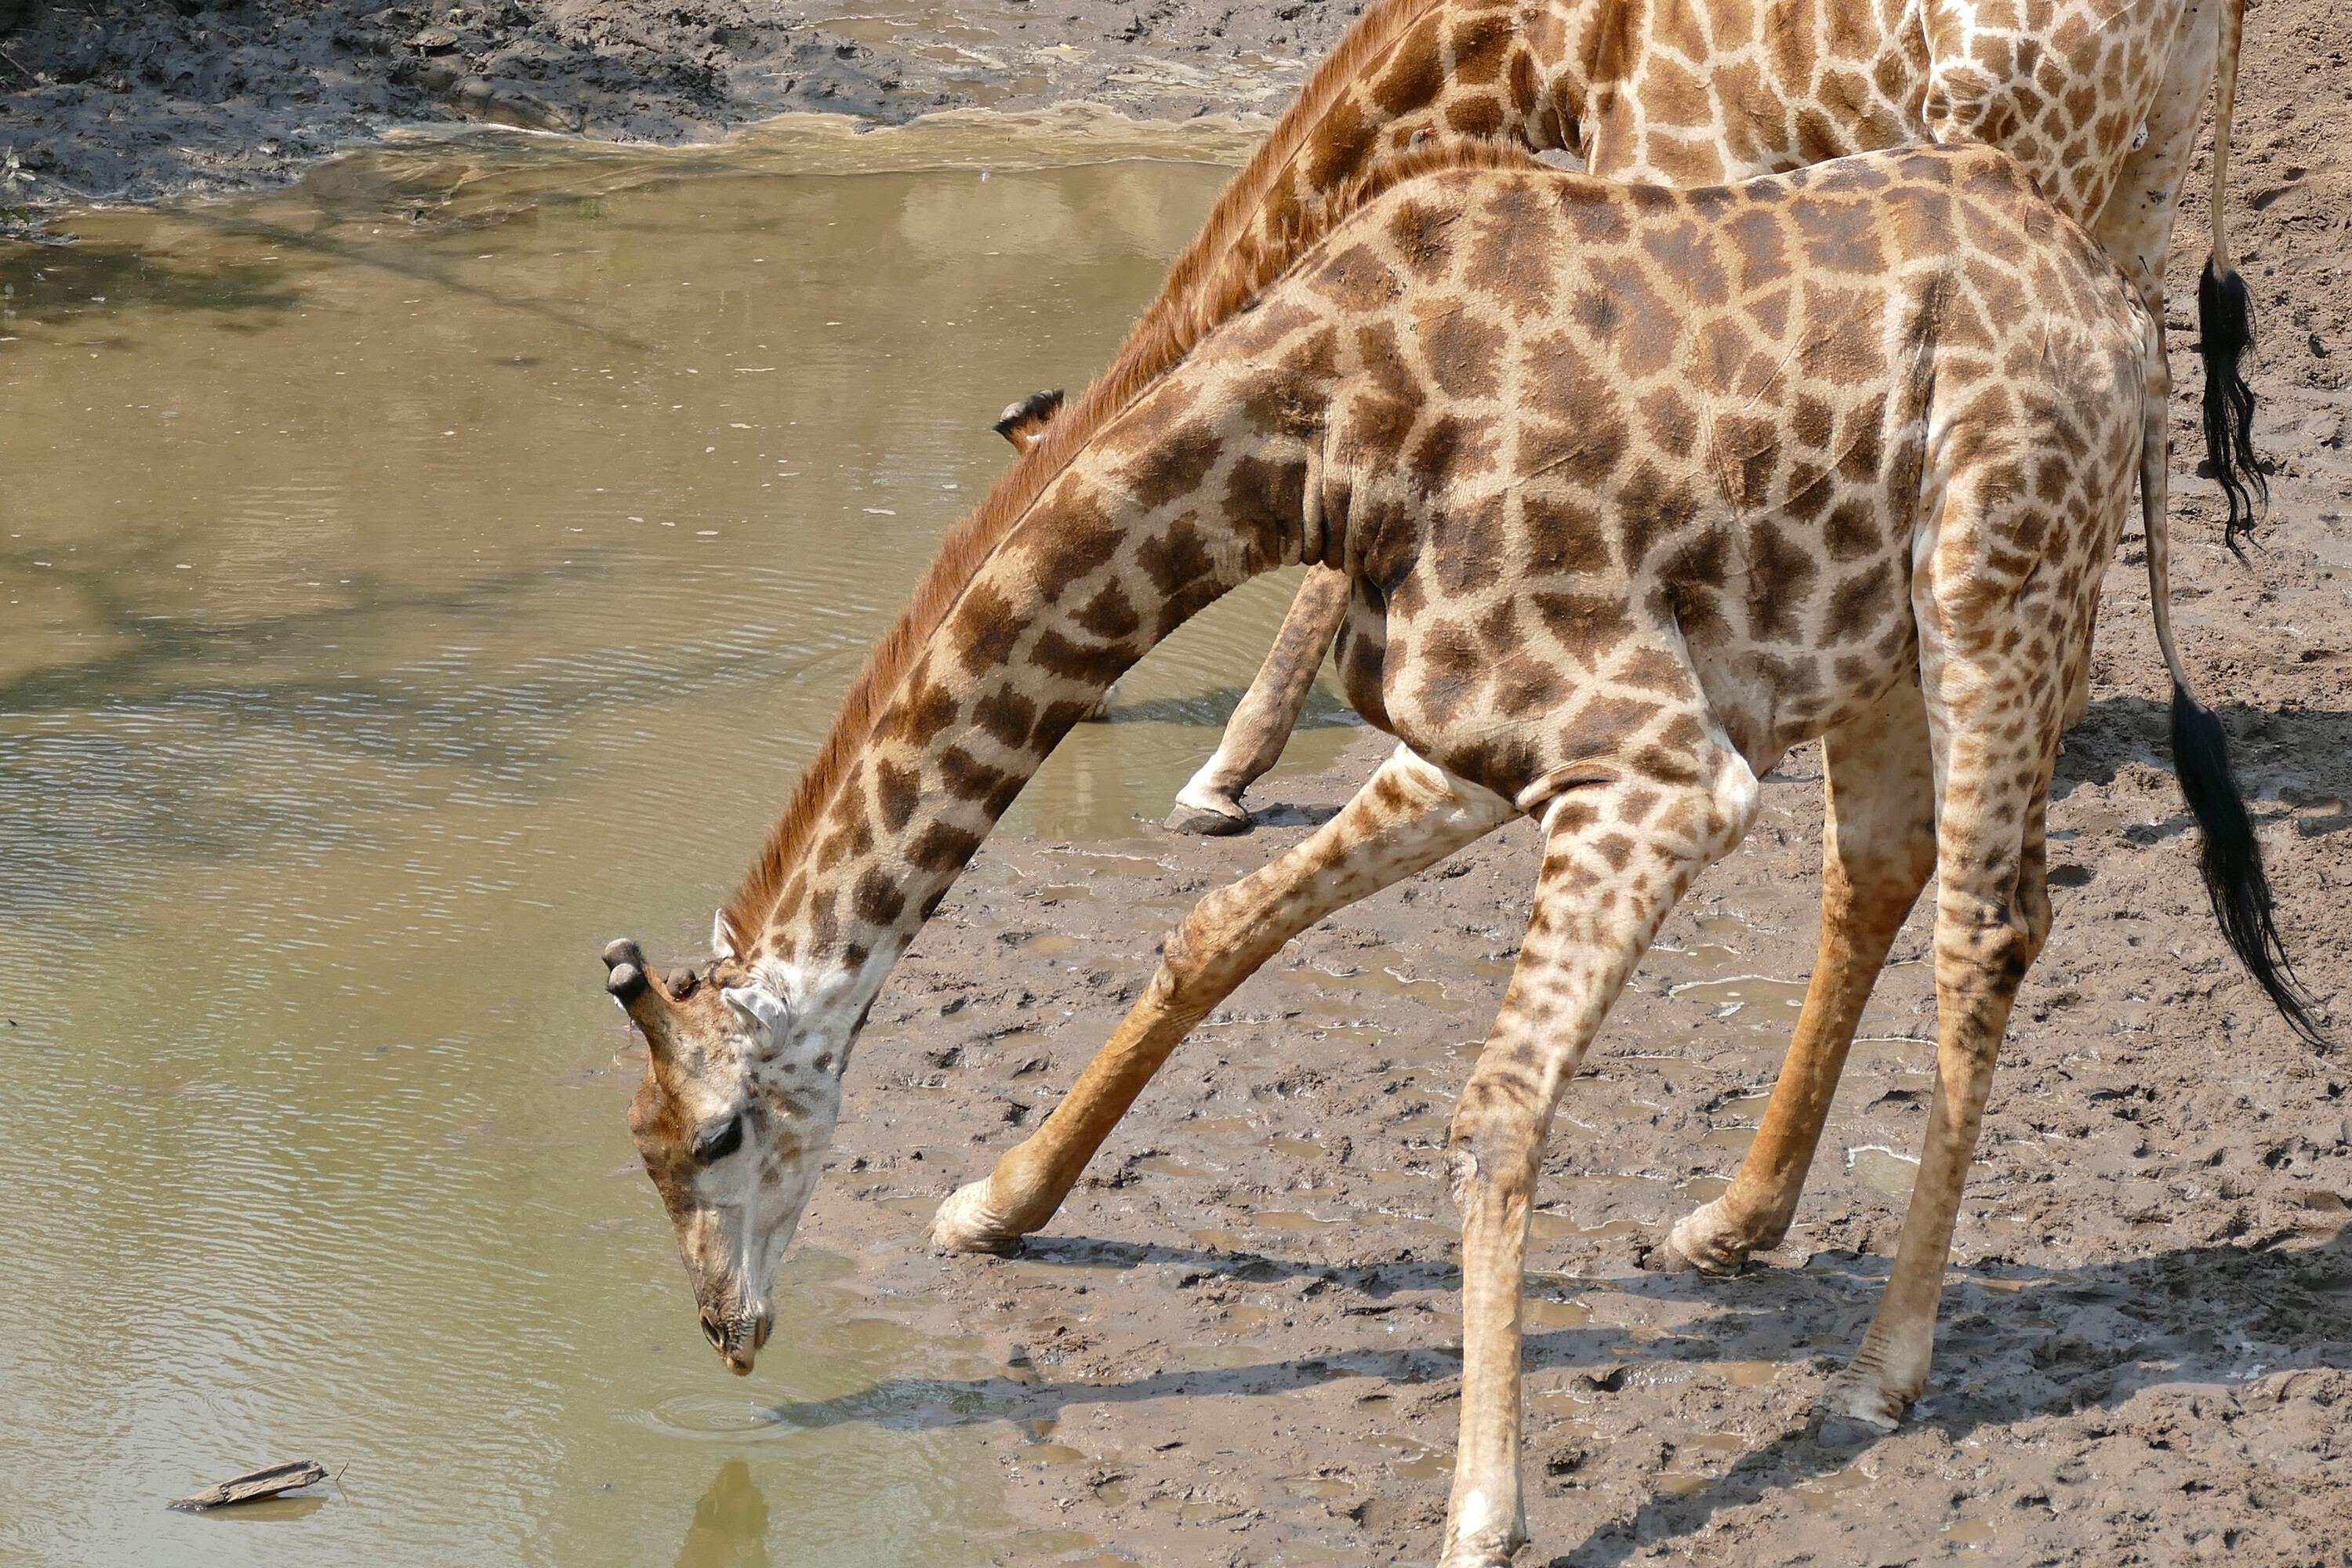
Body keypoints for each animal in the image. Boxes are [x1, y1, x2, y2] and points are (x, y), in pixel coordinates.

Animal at [606, 140, 2316, 1565]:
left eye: (715, 1138)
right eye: (646, 1152)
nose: (728, 1331)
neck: (1306, 439)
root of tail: (2120, 317)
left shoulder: (1657, 760)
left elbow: (1496, 1108)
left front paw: (1485, 1515)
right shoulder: (1475, 740)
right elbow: (1217, 927)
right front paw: (995, 1202)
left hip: (1997, 587)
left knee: (1993, 922)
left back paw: (1883, 1372)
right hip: (1875, 637)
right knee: (1881, 870)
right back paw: (1732, 1222)